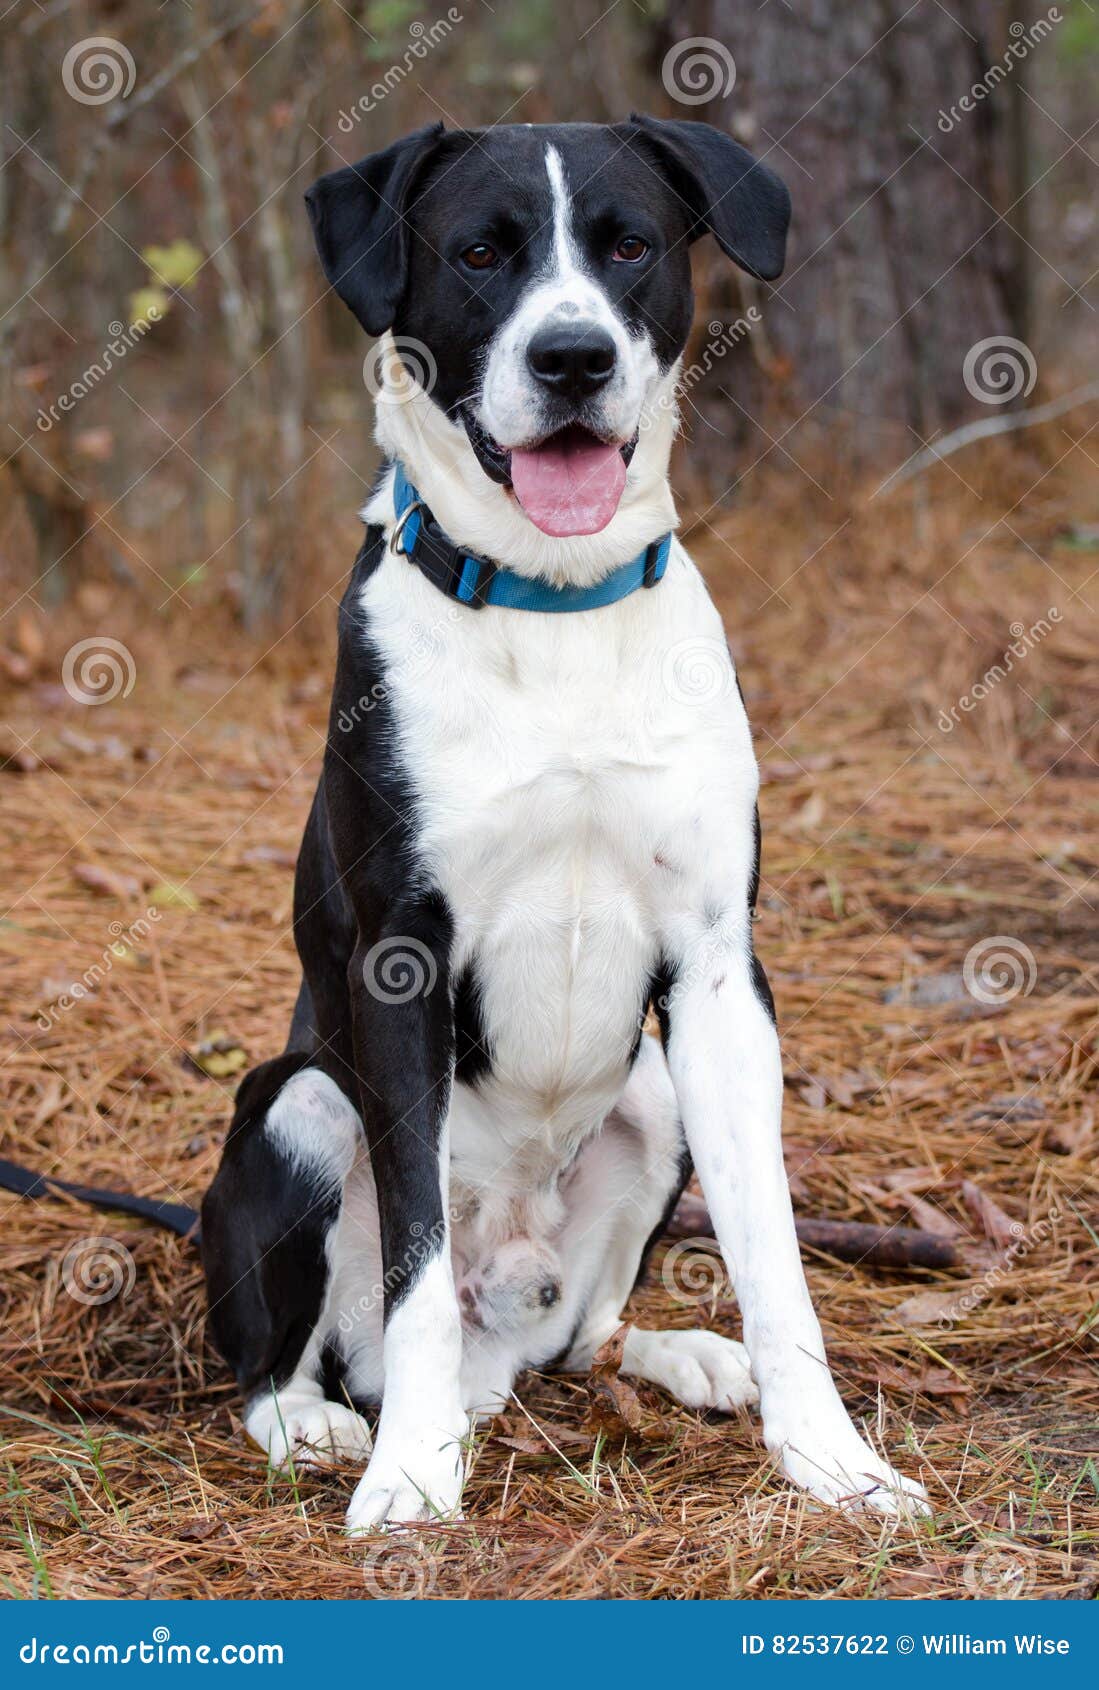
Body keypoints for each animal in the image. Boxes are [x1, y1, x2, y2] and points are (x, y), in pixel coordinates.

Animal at [198, 112, 926, 1527]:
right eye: (481, 253)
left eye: (628, 245)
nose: (573, 356)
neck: (553, 600)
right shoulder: (397, 963)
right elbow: (417, 1262)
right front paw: (411, 1481)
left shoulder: (718, 973)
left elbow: (775, 1254)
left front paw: (834, 1459)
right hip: (299, 1103)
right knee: (284, 1354)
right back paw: (331, 1420)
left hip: (650, 1098)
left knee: (582, 1337)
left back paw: (681, 1357)